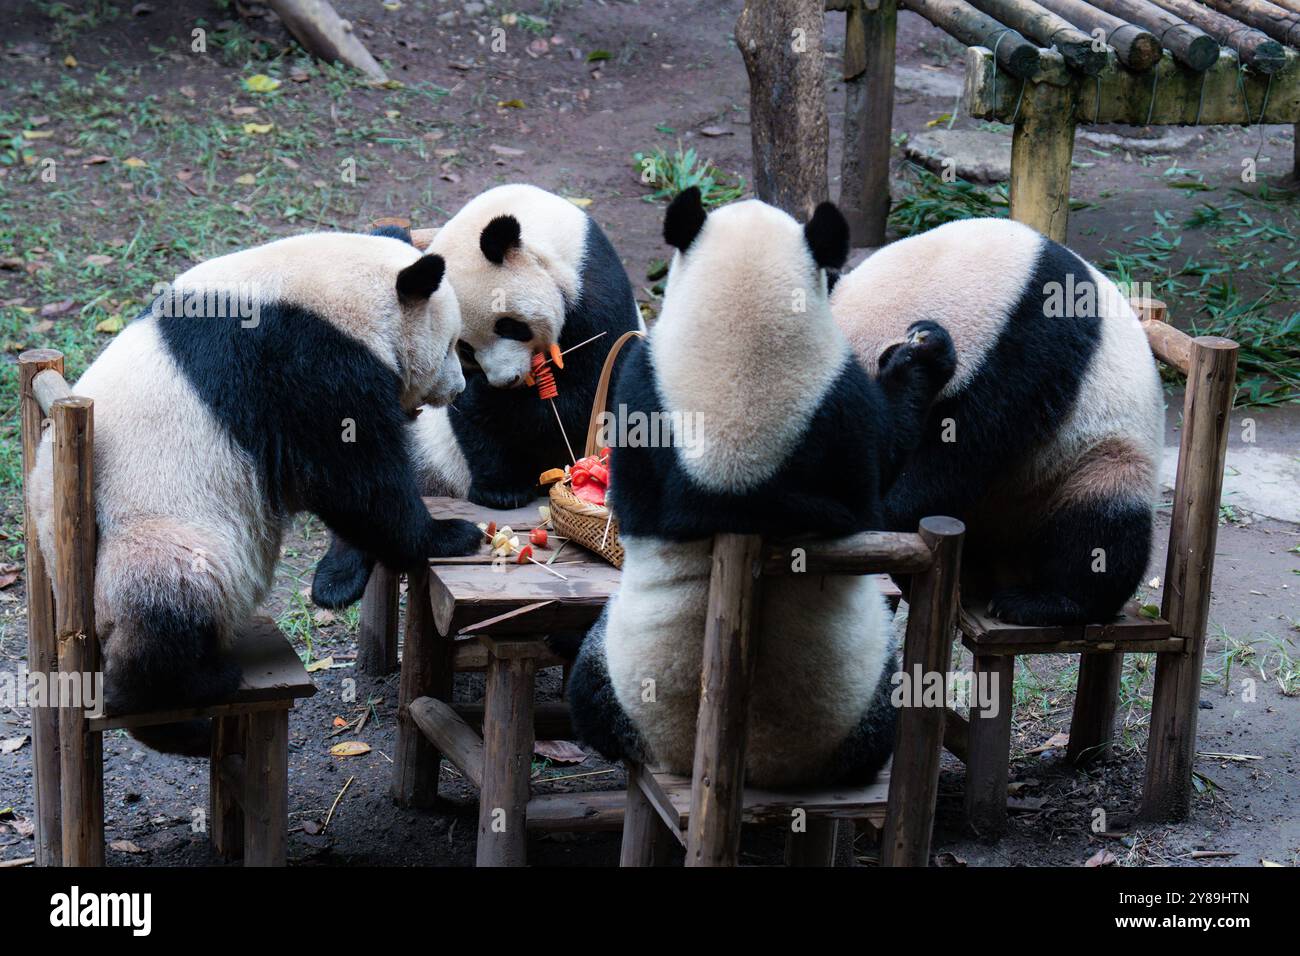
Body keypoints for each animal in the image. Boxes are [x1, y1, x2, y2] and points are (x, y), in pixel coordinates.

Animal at [27, 231, 486, 754]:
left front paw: (335, 579)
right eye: (451, 344)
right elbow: (353, 477)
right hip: (152, 527)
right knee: (170, 590)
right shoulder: (301, 361)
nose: (457, 388)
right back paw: (184, 704)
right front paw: (449, 535)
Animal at [310, 183, 644, 608]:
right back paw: (336, 578)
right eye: (464, 347)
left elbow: (584, 397)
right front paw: (500, 489)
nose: (505, 380)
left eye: (510, 326)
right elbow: (471, 425)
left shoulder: (595, 291)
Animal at [832, 217, 1170, 629]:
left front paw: (887, 510)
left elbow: (960, 455)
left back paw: (1043, 602)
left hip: (1099, 460)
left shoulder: (1026, 350)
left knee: (1100, 528)